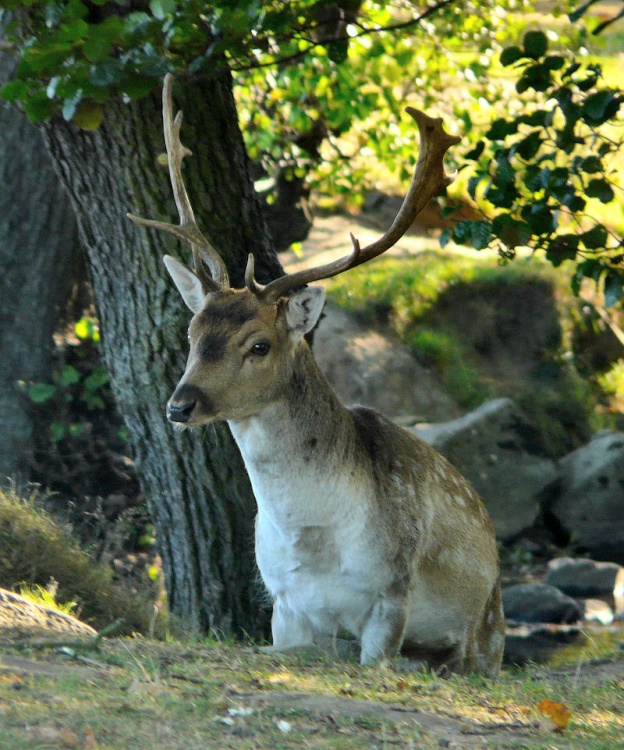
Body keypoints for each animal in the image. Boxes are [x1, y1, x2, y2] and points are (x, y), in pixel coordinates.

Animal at [128, 74, 505, 676]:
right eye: (191, 333)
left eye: (258, 345)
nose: (179, 405)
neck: (314, 538)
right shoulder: (285, 605)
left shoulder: (392, 594)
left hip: (484, 636)